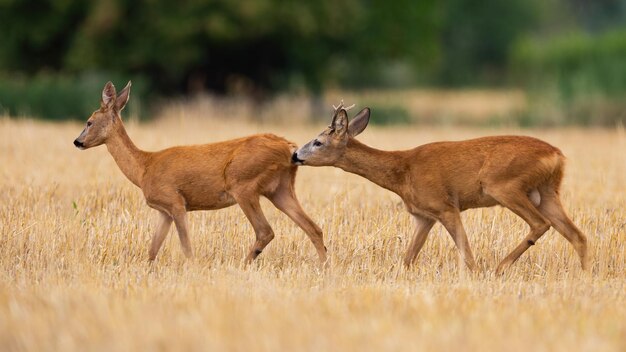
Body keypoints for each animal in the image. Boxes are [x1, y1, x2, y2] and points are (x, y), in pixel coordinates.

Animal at [73, 82, 326, 264]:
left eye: (89, 121)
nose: (77, 142)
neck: (144, 167)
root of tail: (290, 147)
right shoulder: (164, 211)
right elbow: (152, 250)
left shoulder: (176, 202)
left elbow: (186, 246)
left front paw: (193, 268)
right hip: (280, 188)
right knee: (313, 227)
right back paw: (324, 267)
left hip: (243, 184)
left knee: (265, 231)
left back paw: (243, 265)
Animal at [292, 103, 584, 274]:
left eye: (318, 142)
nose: (295, 155)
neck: (403, 171)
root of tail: (557, 155)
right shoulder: (424, 215)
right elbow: (408, 258)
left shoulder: (445, 206)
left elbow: (467, 255)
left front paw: (477, 274)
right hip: (547, 192)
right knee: (578, 235)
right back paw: (586, 273)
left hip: (504, 185)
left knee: (540, 223)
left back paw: (500, 267)